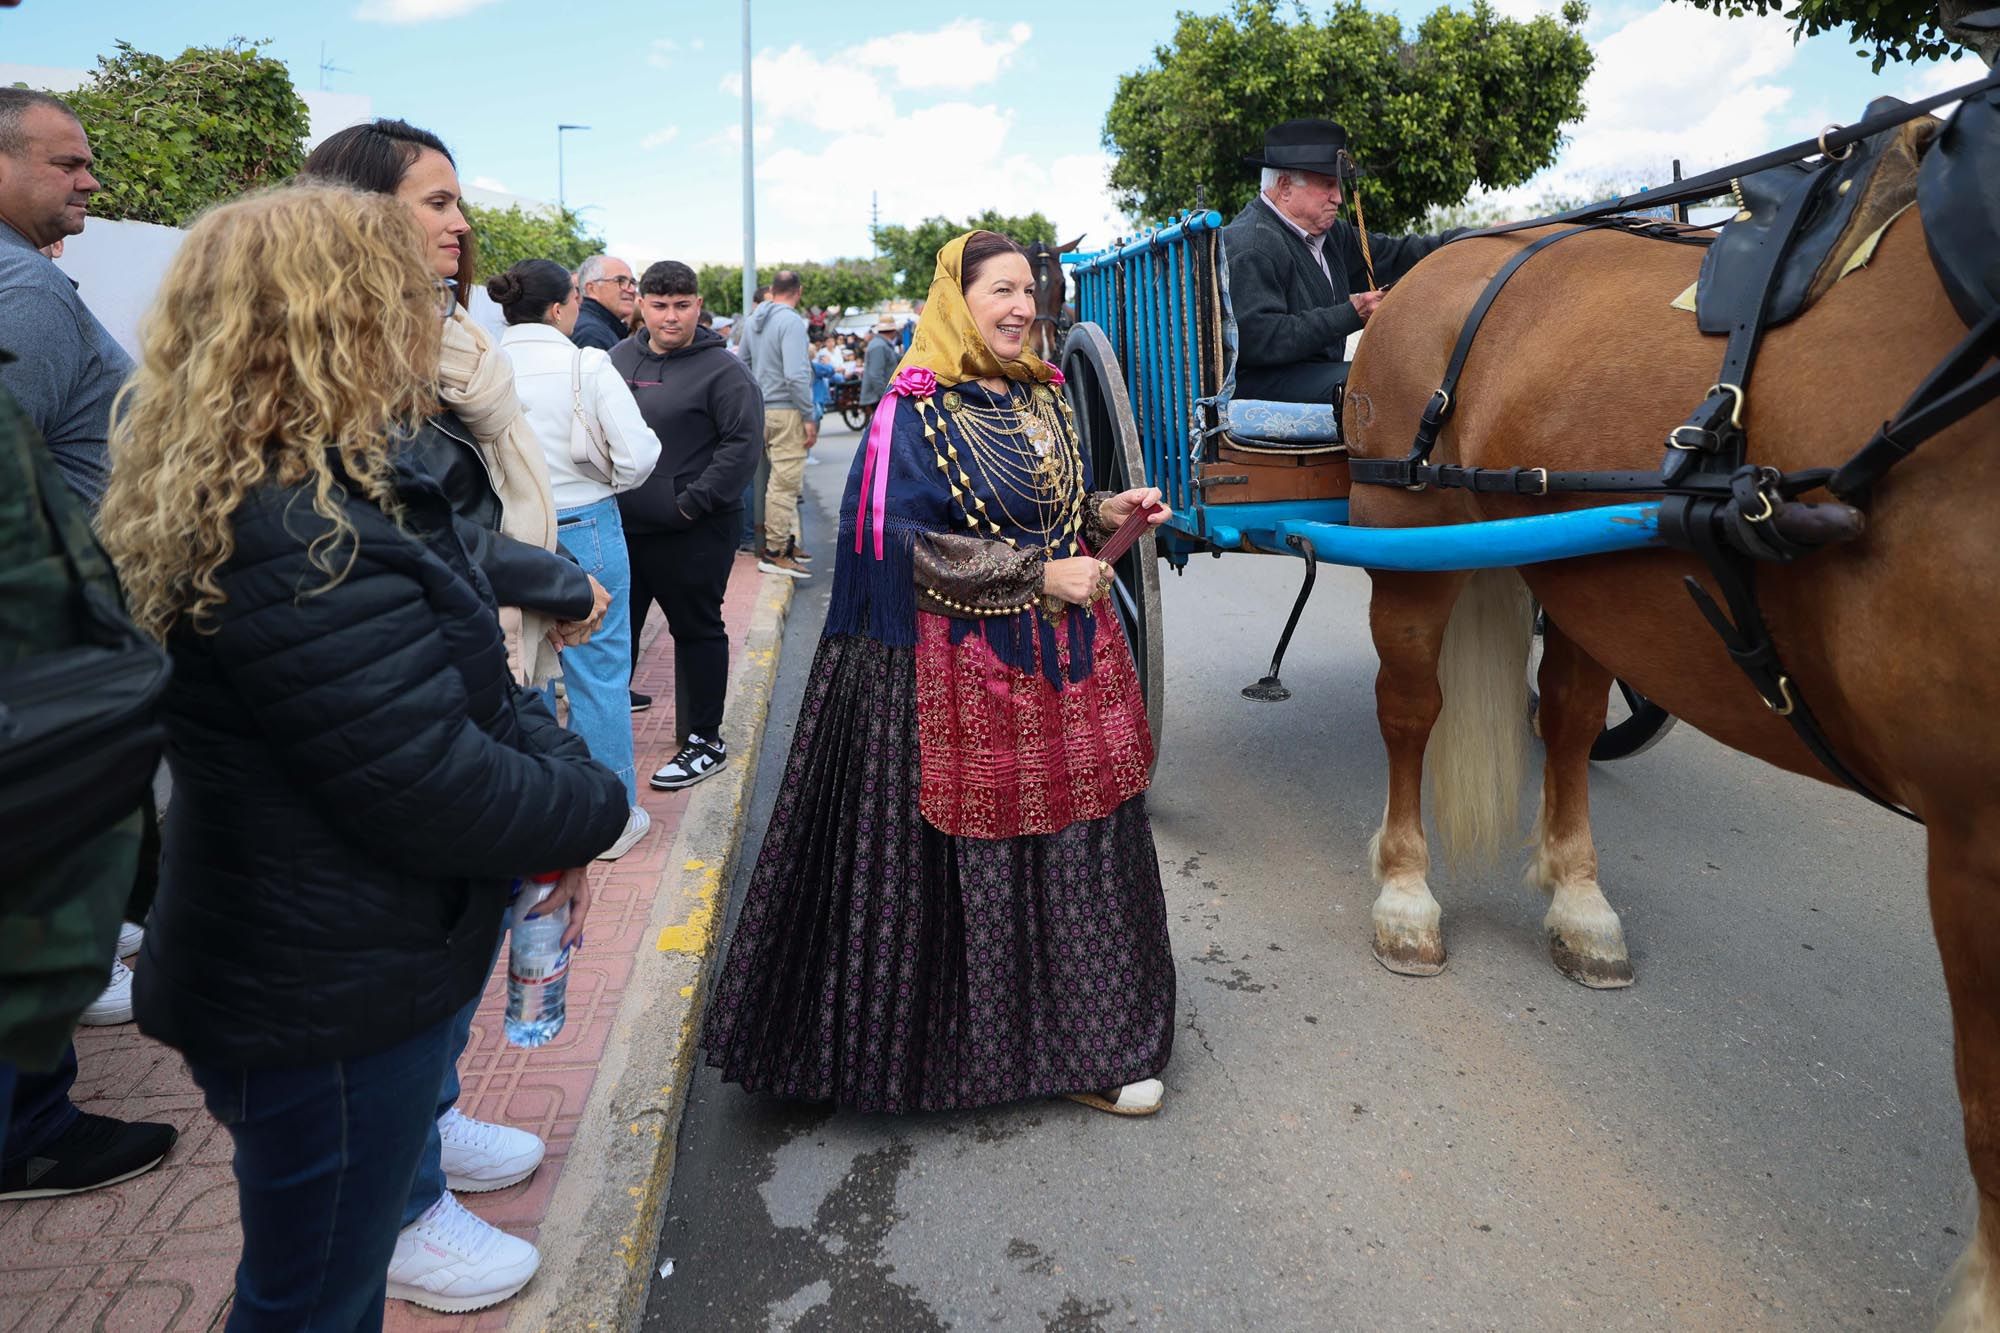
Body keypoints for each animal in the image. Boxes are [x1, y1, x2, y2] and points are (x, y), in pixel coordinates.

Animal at [1344, 176, 2000, 1304]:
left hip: (1577, 570)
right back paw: (1405, 893)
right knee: (1409, 712)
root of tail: (1436, 262)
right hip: (1407, 541)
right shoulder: (1975, 833)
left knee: (1565, 719)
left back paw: (1579, 903)